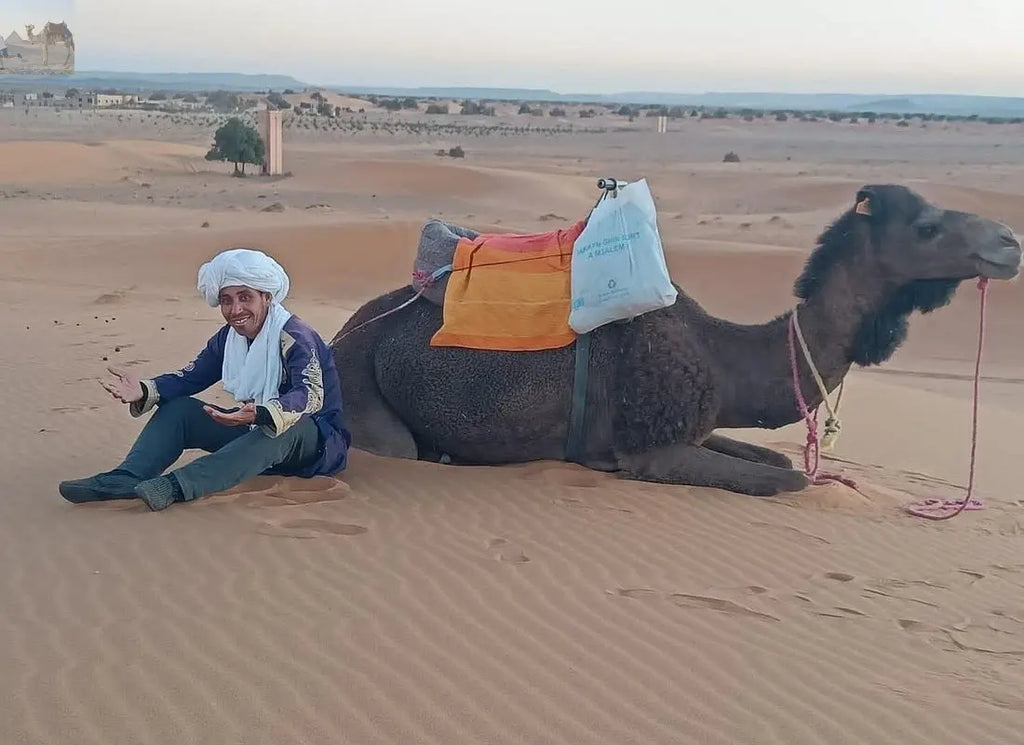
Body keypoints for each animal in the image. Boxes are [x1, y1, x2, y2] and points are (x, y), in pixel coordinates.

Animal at [329, 185, 1021, 497]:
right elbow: (792, 482)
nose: (1010, 241)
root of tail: (339, 338)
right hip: (365, 399)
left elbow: (775, 462)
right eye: (927, 226)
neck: (722, 357)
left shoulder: (693, 424)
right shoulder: (652, 454)